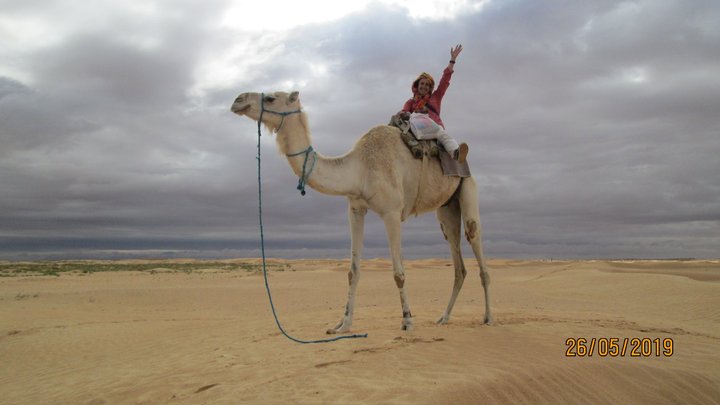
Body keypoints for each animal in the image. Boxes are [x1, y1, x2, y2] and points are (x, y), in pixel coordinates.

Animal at [231, 91, 492, 332]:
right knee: (457, 260)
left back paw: (488, 317)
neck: (360, 168)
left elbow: (399, 272)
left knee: (474, 239)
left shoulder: (392, 212)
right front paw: (342, 325)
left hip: (468, 187)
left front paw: (407, 320)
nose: (237, 100)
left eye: (272, 98)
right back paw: (443, 318)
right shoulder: (355, 208)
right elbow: (352, 271)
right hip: (446, 208)